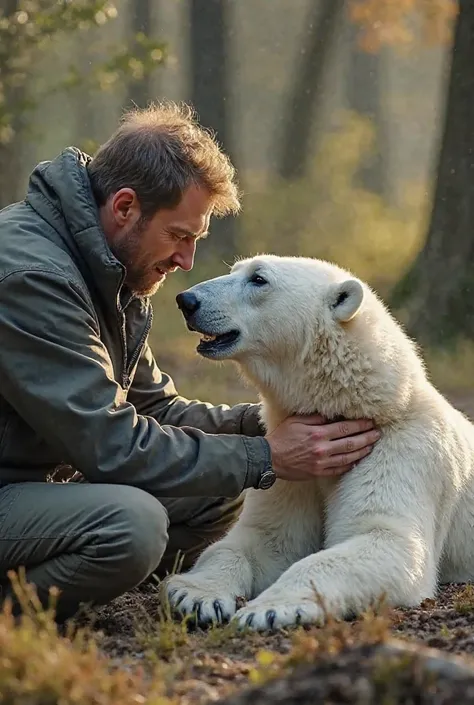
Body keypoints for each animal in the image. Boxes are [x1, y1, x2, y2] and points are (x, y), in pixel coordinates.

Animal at [162, 256, 474, 628]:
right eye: (235, 269)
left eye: (258, 278)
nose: (187, 300)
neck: (358, 406)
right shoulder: (294, 473)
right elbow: (265, 537)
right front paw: (196, 596)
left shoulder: (406, 450)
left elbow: (385, 538)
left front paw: (267, 609)